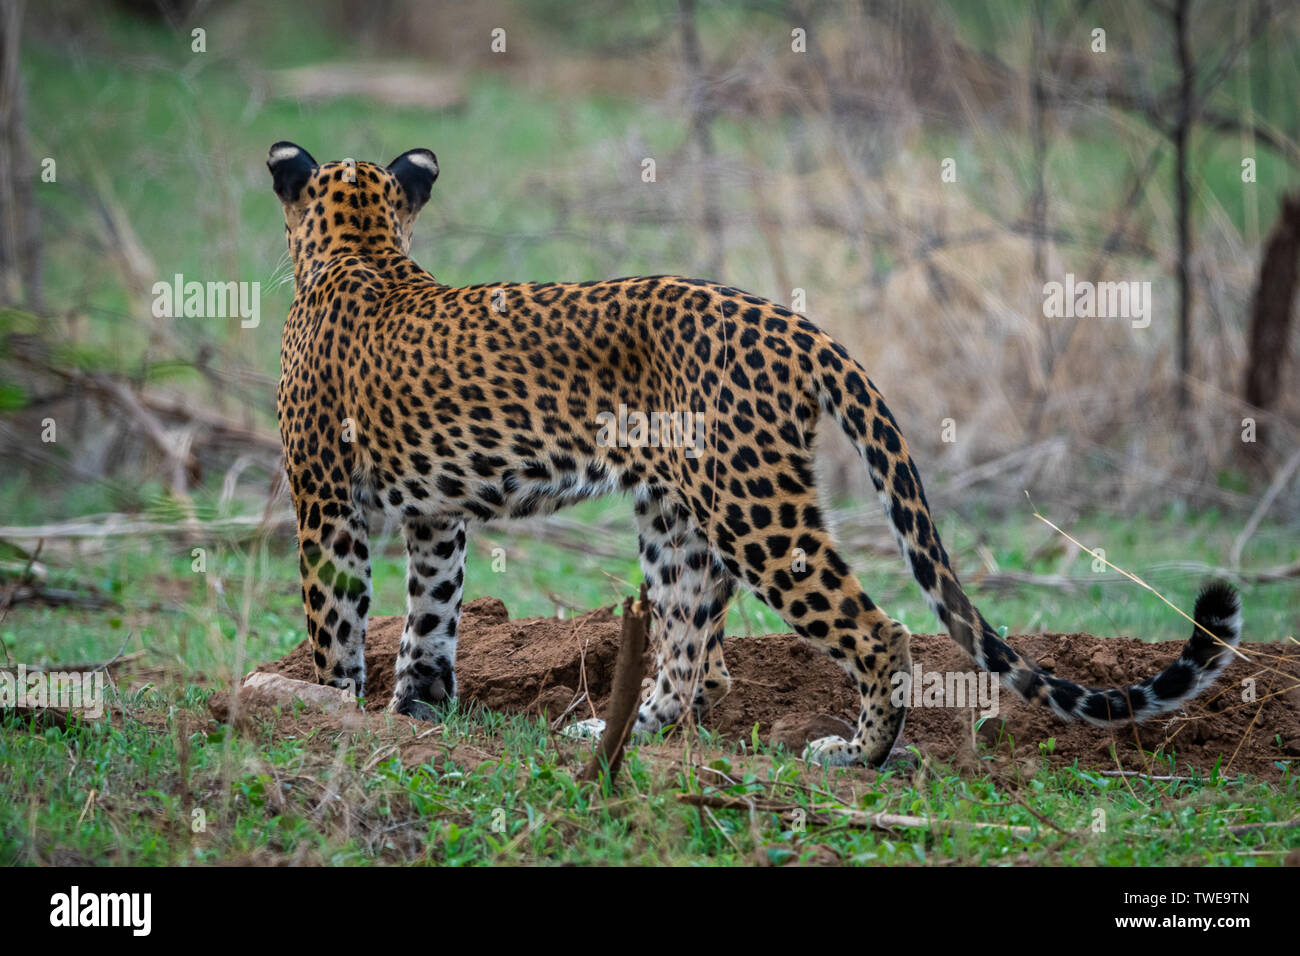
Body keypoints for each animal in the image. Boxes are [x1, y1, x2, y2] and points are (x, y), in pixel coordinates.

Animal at [261, 140, 1237, 770]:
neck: (357, 247)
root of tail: (796, 323)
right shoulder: (436, 517)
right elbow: (430, 618)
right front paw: (412, 714)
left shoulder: (325, 503)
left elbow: (335, 622)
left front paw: (332, 713)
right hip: (677, 513)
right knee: (688, 635)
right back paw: (625, 737)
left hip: (755, 510)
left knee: (877, 630)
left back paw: (856, 754)